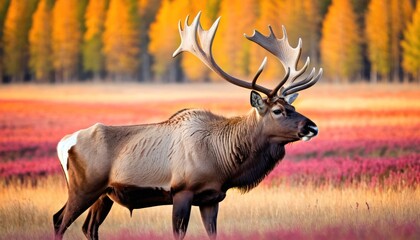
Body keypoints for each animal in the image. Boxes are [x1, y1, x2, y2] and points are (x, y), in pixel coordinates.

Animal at [52, 13, 322, 240]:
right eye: (277, 110)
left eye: (293, 106)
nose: (312, 127)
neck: (224, 161)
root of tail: (63, 143)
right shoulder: (181, 191)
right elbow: (178, 233)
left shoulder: (212, 198)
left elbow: (213, 233)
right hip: (83, 188)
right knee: (59, 220)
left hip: (104, 195)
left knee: (88, 227)